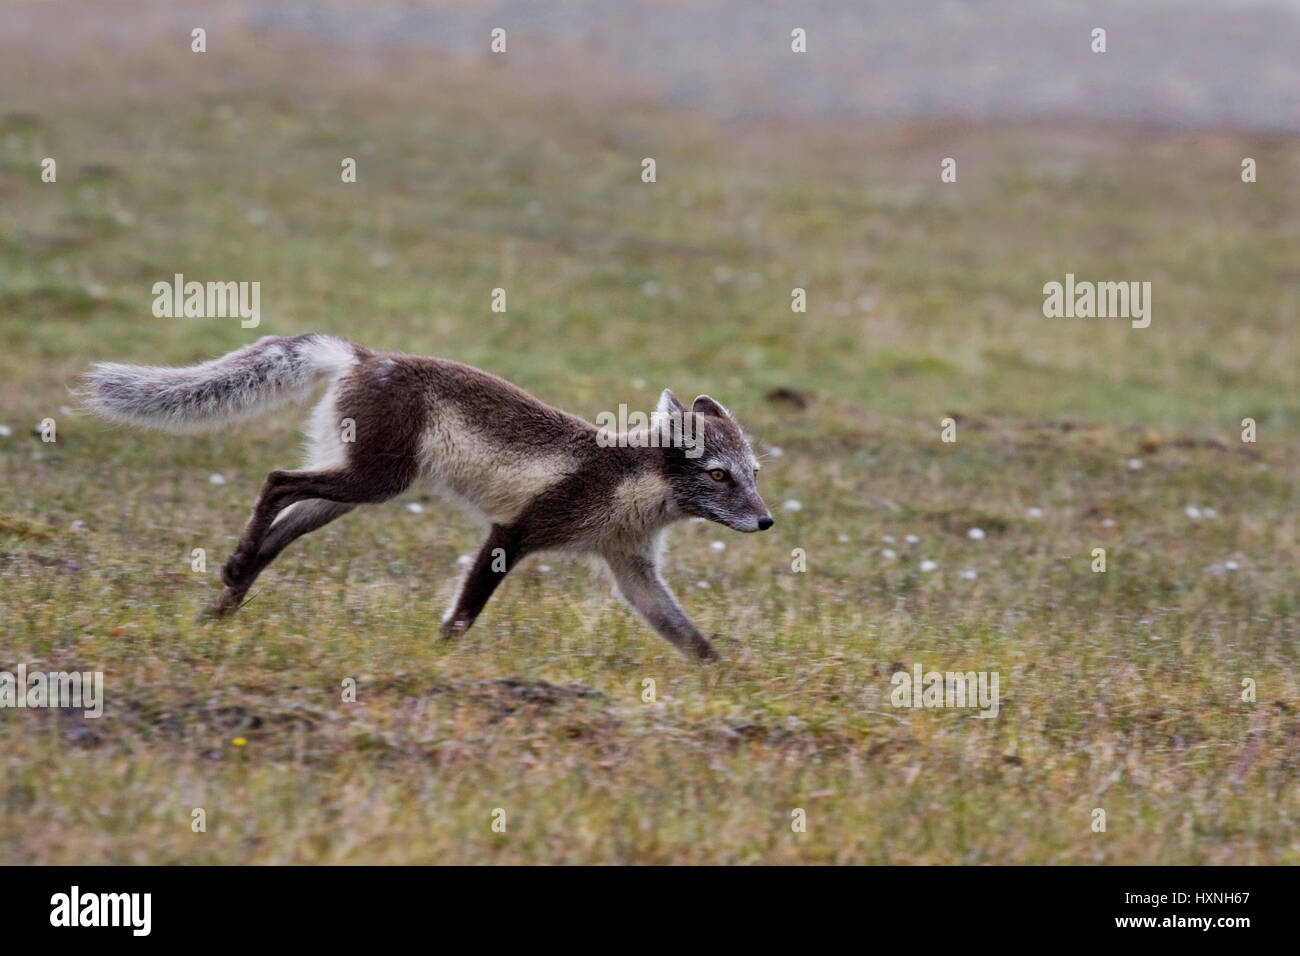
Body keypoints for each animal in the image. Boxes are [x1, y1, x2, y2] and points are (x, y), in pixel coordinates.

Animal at [86, 335, 774, 658]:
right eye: (719, 476)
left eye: (754, 472)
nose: (767, 522)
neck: (633, 486)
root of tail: (366, 356)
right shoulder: (514, 532)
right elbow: (465, 612)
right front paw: (439, 656)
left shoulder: (630, 567)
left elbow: (689, 638)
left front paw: (726, 680)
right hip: (375, 482)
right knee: (277, 479)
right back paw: (231, 574)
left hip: (355, 489)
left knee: (282, 526)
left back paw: (224, 599)